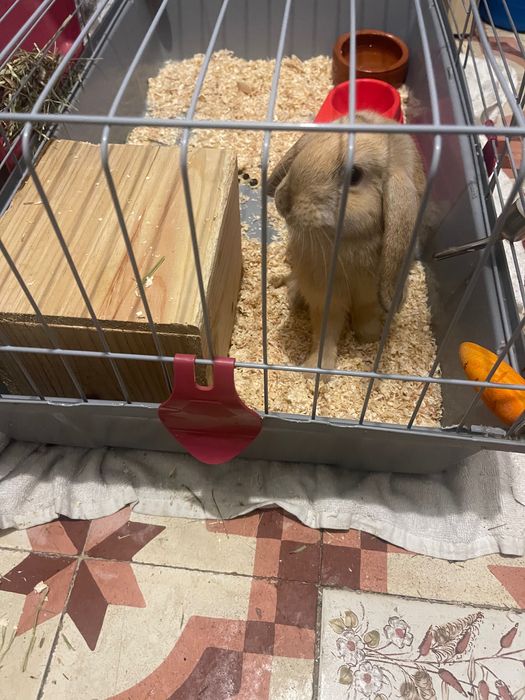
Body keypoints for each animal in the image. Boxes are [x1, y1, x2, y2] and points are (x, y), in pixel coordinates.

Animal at [267, 110, 426, 374]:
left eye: (354, 175)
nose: (283, 201)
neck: (346, 244)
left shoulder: (368, 296)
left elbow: (364, 315)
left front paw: (369, 337)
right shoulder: (324, 296)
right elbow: (326, 332)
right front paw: (317, 369)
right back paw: (294, 294)